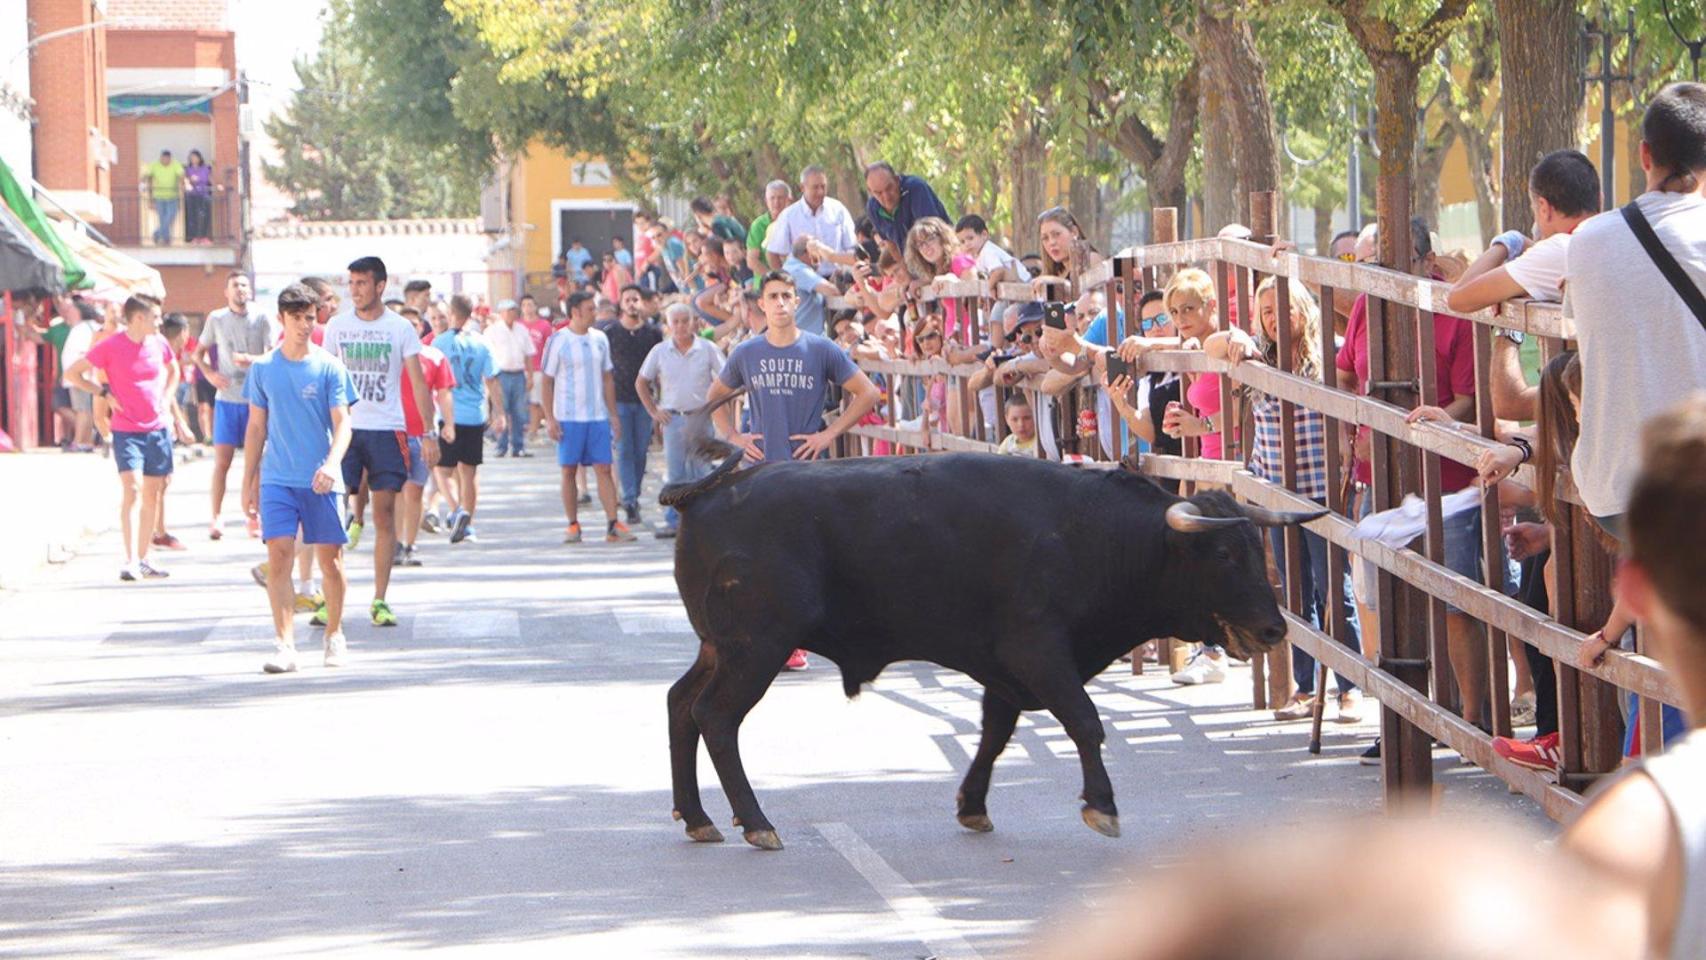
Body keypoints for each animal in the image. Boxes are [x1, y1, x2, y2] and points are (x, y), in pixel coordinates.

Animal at [651, 450, 1317, 849]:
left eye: (1258, 549)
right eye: (1224, 555)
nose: (1273, 631)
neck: (1090, 534)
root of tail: (706, 492)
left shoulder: (1007, 671)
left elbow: (995, 733)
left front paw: (972, 805)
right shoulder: (1038, 652)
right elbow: (1085, 722)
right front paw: (1102, 806)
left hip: (720, 647)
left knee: (681, 704)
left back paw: (699, 817)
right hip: (756, 647)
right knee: (715, 716)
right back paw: (757, 823)